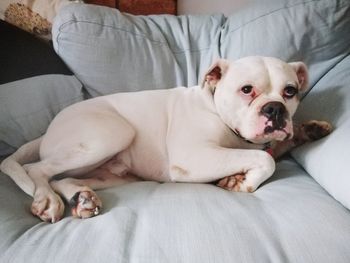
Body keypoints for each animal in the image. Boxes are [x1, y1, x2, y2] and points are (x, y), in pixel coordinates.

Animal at [0, 56, 330, 223]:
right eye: (246, 90)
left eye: (290, 91)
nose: (275, 108)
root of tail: (49, 128)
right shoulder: (193, 157)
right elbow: (265, 160)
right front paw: (243, 180)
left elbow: (272, 149)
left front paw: (309, 129)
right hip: (110, 134)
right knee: (37, 170)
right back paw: (46, 200)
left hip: (111, 173)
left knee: (63, 177)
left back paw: (81, 198)